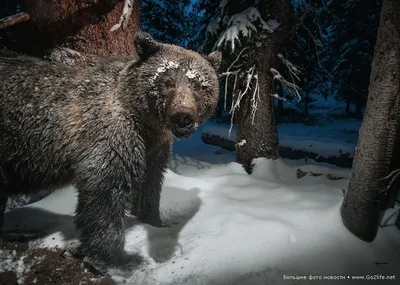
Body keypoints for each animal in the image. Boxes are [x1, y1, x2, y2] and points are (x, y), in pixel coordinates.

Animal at [0, 32, 222, 268]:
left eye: (198, 85)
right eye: (167, 81)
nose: (183, 116)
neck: (146, 123)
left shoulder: (154, 150)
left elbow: (150, 186)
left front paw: (154, 222)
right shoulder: (111, 134)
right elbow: (106, 190)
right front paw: (114, 257)